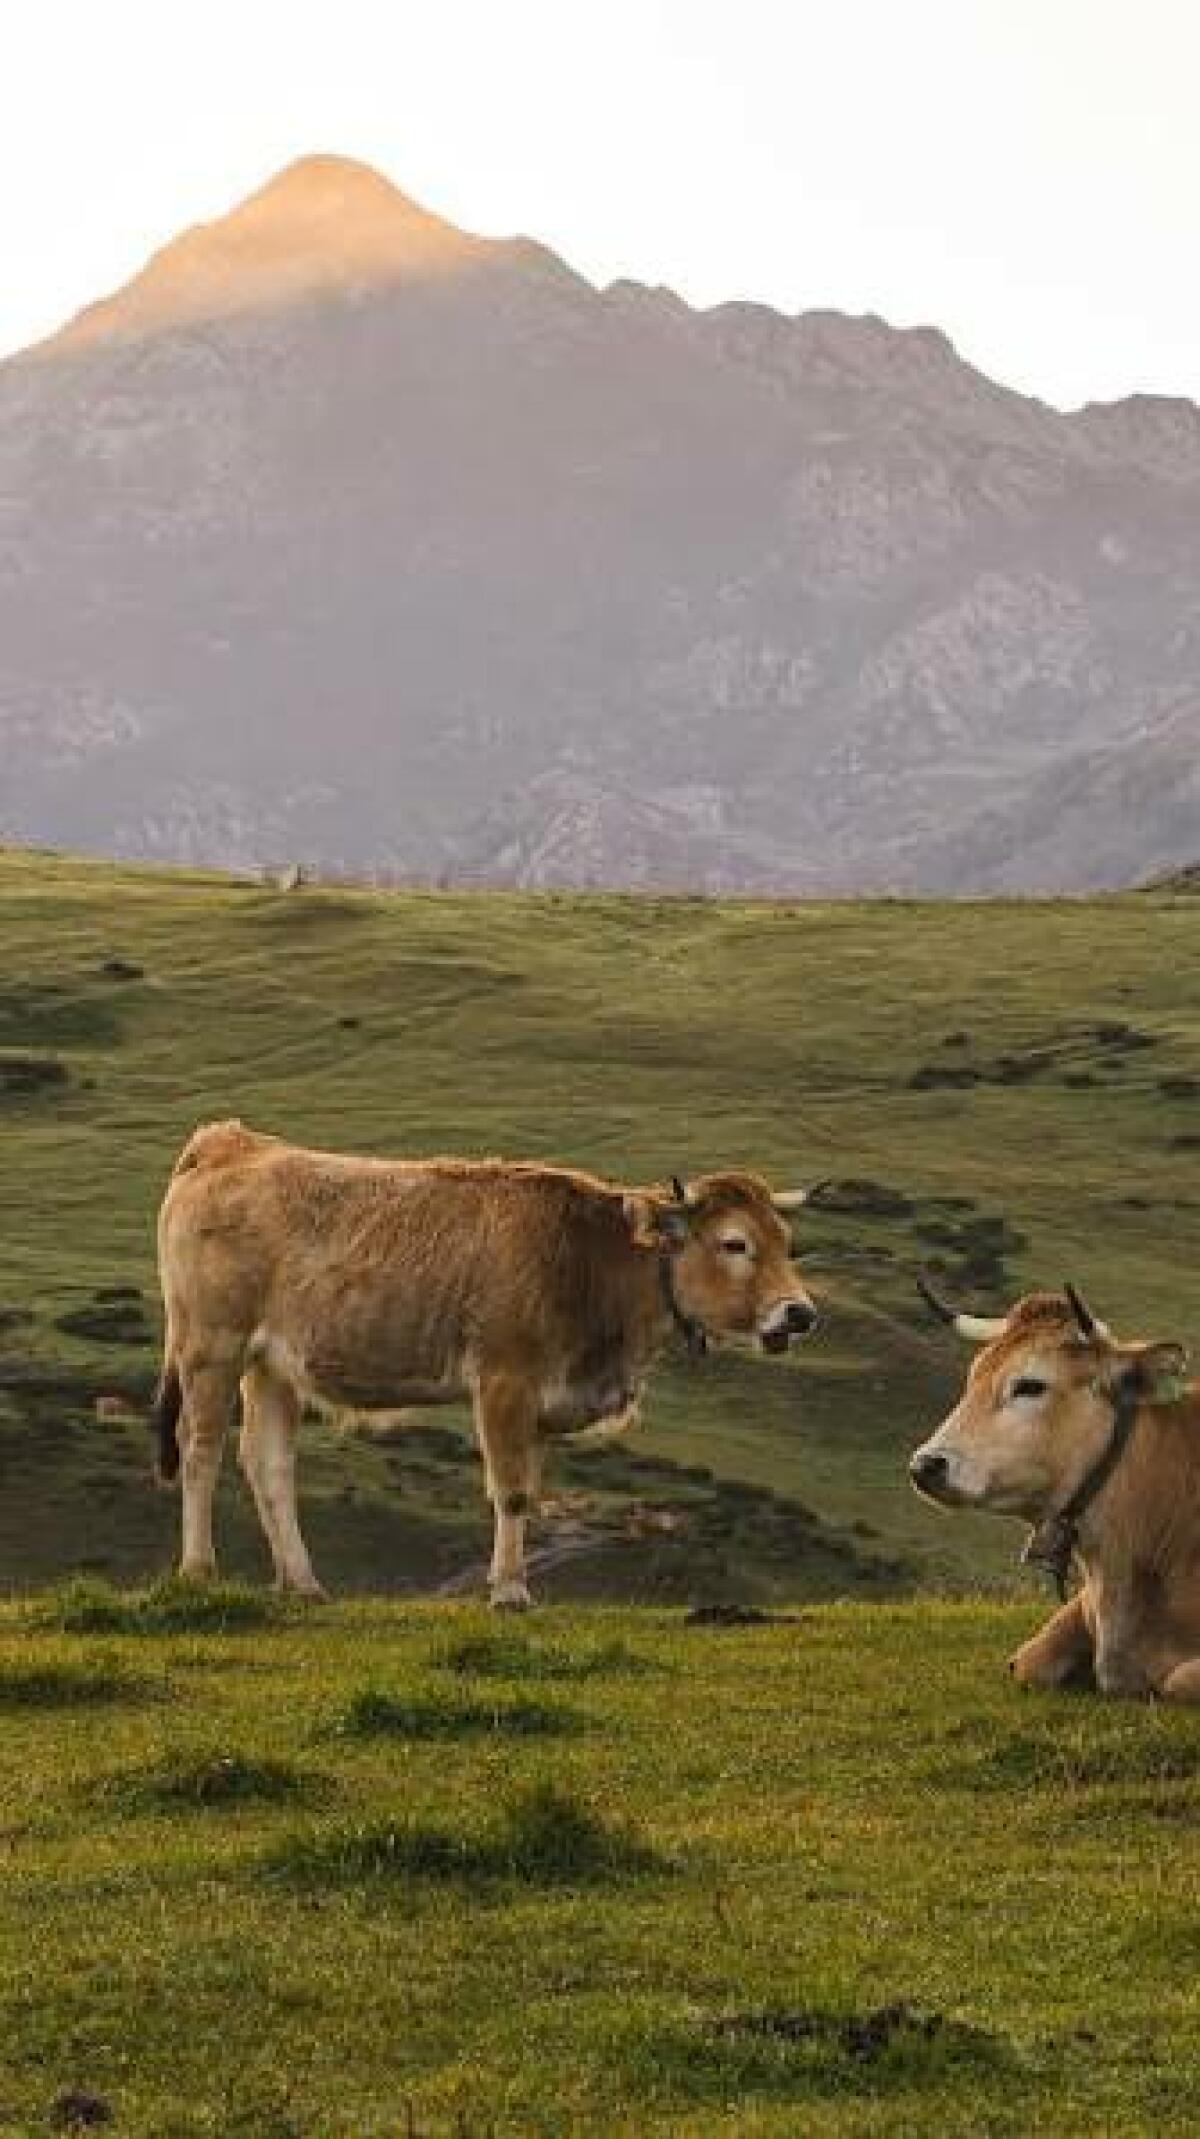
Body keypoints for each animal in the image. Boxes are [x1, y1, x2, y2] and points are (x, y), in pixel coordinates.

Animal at [153, 1120, 824, 1608]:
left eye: (787, 1241)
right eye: (735, 1243)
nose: (799, 1314)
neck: (589, 1262)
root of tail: (229, 1142)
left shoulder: (545, 1404)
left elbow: (529, 1489)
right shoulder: (505, 1382)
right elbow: (511, 1491)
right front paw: (508, 1591)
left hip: (271, 1366)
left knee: (268, 1464)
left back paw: (302, 1584)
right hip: (211, 1345)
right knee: (200, 1449)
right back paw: (199, 1569)